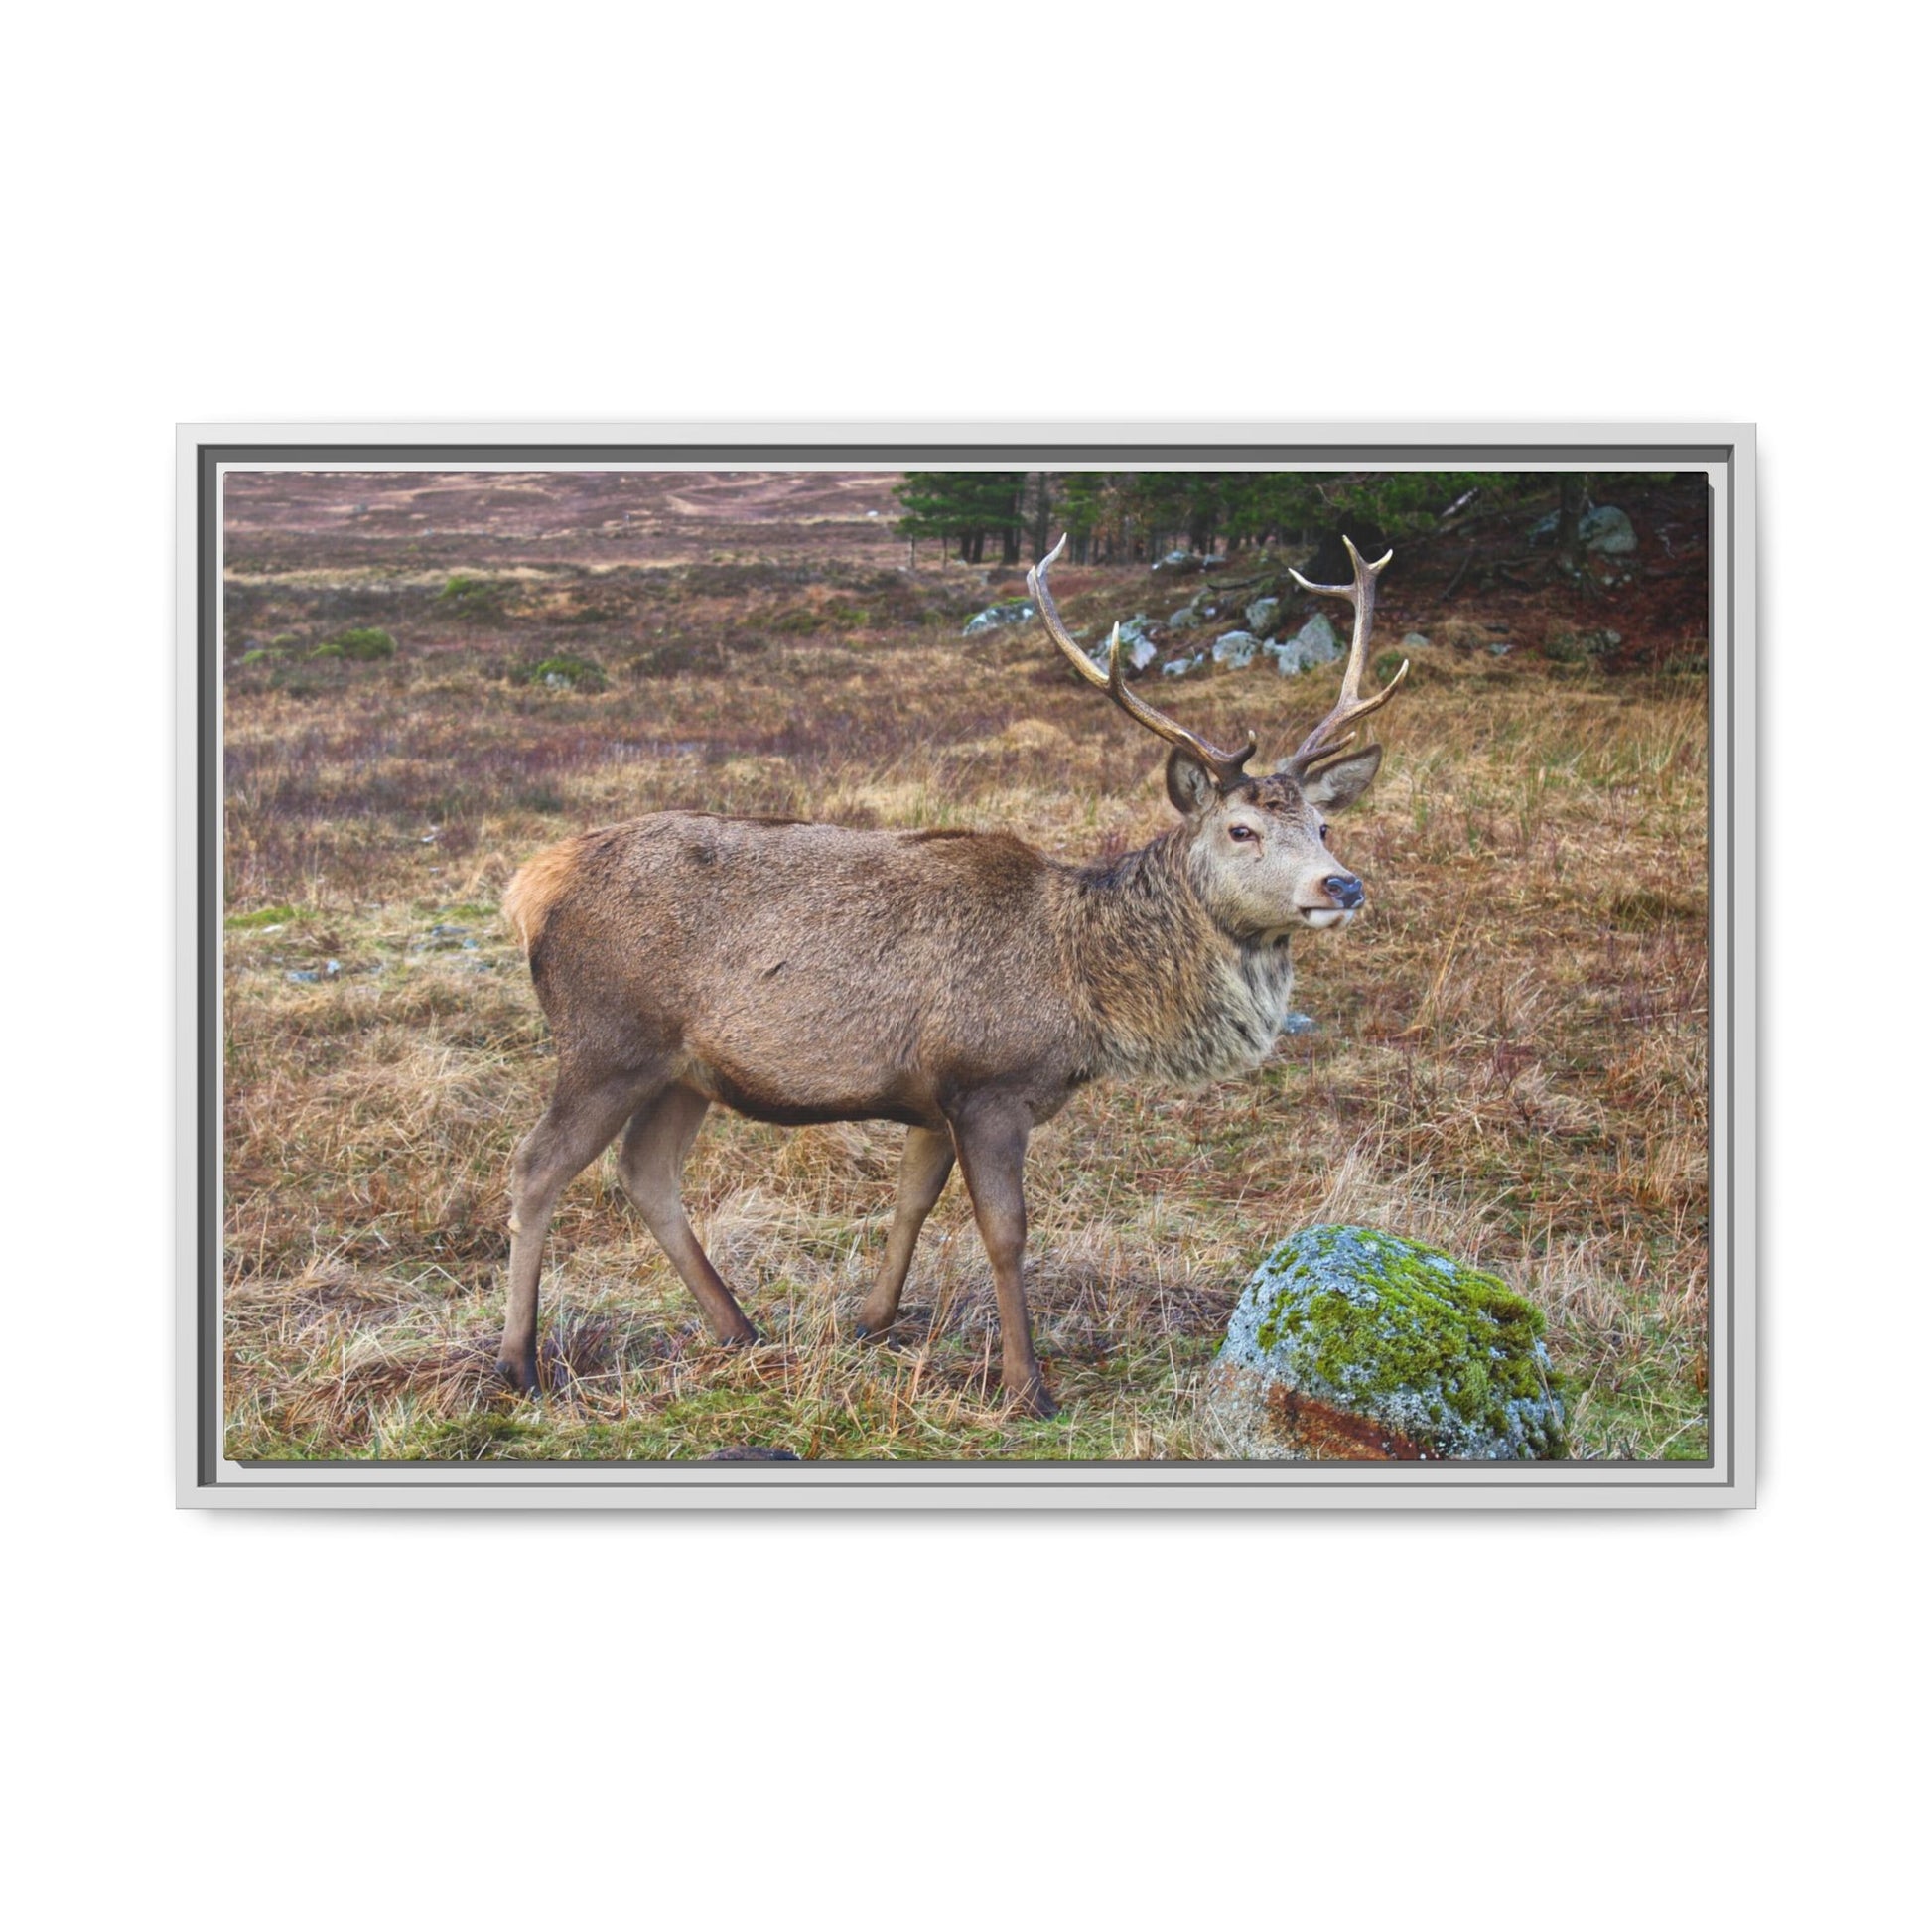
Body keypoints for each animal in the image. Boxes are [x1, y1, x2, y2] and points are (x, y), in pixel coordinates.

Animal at [497, 535, 1407, 1418]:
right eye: (1241, 829)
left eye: (1325, 824)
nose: (1343, 885)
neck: (1085, 992)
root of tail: (532, 882)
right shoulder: (988, 1084)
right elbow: (1005, 1233)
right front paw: (1027, 1385)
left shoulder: (933, 1099)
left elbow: (911, 1202)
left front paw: (870, 1323)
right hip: (606, 1041)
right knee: (536, 1166)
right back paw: (520, 1363)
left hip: (685, 1071)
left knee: (646, 1172)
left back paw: (739, 1328)